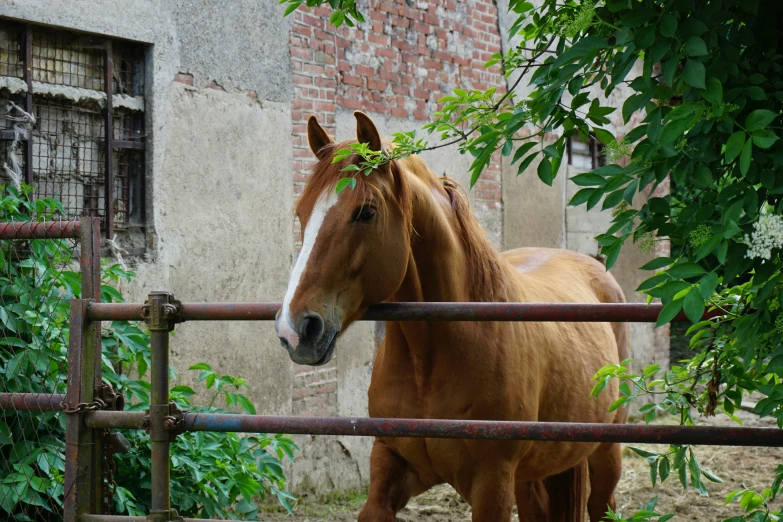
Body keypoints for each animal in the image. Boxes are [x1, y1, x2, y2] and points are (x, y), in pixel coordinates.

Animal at [276, 111, 632, 516]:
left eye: (365, 212)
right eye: (302, 212)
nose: (295, 330)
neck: (429, 360)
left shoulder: (493, 484)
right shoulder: (389, 465)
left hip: (604, 454)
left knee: (602, 503)